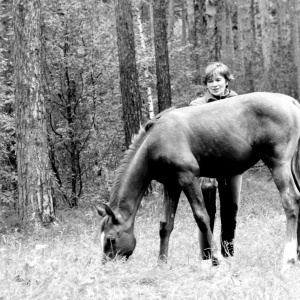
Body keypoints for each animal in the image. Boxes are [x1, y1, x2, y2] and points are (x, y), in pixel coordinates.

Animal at [95, 92, 300, 270]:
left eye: (111, 239)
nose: (105, 266)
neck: (154, 142)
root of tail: (291, 102)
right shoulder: (171, 185)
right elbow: (165, 225)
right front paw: (161, 263)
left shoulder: (188, 178)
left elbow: (202, 217)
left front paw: (217, 260)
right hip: (292, 166)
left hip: (279, 165)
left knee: (290, 202)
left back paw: (289, 259)